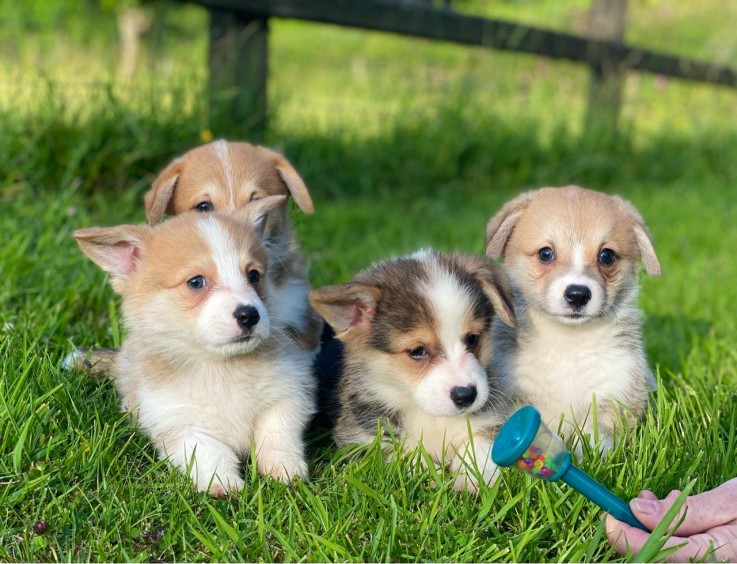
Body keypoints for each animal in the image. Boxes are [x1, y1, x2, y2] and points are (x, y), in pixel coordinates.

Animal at [73, 196, 314, 496]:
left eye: (254, 276)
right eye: (196, 281)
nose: (249, 315)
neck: (221, 367)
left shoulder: (287, 395)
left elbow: (277, 434)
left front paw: (285, 470)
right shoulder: (179, 424)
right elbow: (210, 453)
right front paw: (224, 484)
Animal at [308, 249, 516, 492]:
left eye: (473, 338)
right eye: (417, 351)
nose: (466, 395)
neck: (429, 414)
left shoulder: (489, 424)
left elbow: (479, 452)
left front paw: (472, 481)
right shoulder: (362, 440)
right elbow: (406, 456)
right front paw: (434, 478)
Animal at [484, 185, 660, 454]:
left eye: (606, 256)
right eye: (546, 253)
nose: (578, 294)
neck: (567, 342)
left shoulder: (616, 388)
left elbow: (598, 436)